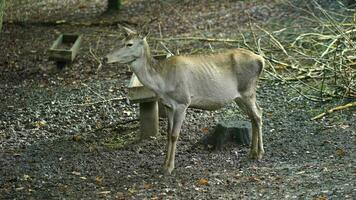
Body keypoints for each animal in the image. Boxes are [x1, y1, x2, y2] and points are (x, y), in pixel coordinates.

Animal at [105, 28, 264, 175]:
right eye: (120, 40)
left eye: (129, 44)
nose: (105, 58)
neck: (162, 83)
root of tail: (261, 59)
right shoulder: (168, 105)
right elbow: (168, 134)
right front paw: (163, 165)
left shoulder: (182, 102)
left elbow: (175, 135)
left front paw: (170, 167)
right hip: (239, 97)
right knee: (254, 115)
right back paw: (252, 152)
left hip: (247, 91)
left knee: (258, 115)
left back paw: (259, 153)